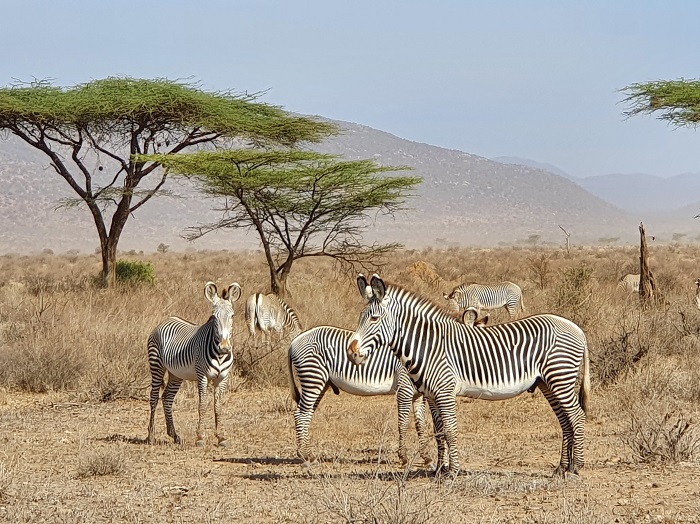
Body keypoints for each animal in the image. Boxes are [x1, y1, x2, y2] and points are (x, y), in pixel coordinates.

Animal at [146, 280, 242, 448]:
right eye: (214, 317)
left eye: (232, 316)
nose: (224, 347)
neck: (219, 355)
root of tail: (166, 320)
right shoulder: (202, 376)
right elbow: (202, 405)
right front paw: (200, 437)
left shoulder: (223, 378)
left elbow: (218, 406)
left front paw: (221, 437)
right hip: (156, 365)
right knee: (154, 397)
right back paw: (151, 436)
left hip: (176, 374)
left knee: (167, 398)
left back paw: (175, 435)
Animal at [288, 308, 490, 466]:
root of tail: (295, 341)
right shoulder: (404, 388)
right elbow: (403, 422)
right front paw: (404, 457)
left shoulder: (418, 394)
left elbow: (420, 424)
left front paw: (425, 457)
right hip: (313, 378)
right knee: (300, 414)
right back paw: (306, 456)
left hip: (320, 383)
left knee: (306, 414)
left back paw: (308, 454)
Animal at [350, 276, 592, 476]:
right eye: (360, 317)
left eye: (374, 318)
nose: (352, 353)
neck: (428, 345)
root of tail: (577, 329)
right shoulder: (431, 395)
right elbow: (439, 432)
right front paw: (440, 469)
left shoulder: (445, 392)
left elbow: (450, 429)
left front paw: (453, 472)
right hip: (547, 383)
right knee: (565, 421)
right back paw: (562, 468)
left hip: (560, 378)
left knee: (577, 417)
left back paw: (576, 467)